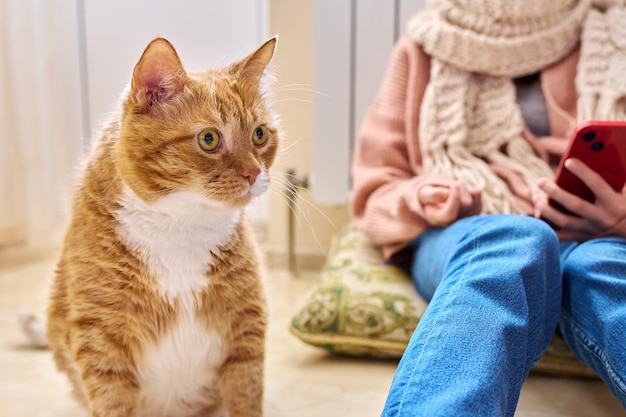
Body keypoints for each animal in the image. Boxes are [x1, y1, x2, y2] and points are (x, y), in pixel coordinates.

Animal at [45, 36, 276, 416]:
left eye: (259, 134)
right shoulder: (101, 339)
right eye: (209, 139)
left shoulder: (244, 327)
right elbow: (112, 402)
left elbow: (245, 395)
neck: (181, 226)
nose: (255, 173)